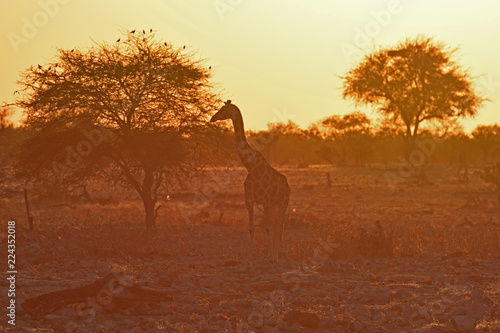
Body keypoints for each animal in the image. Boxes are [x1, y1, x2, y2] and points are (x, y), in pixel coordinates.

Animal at [210, 100, 290, 260]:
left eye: (223, 109)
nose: (212, 118)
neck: (250, 165)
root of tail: (288, 185)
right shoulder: (249, 199)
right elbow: (252, 227)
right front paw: (251, 255)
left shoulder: (265, 200)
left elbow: (267, 227)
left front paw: (270, 256)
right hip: (275, 203)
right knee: (277, 224)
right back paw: (274, 251)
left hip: (283, 201)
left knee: (279, 224)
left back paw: (276, 253)